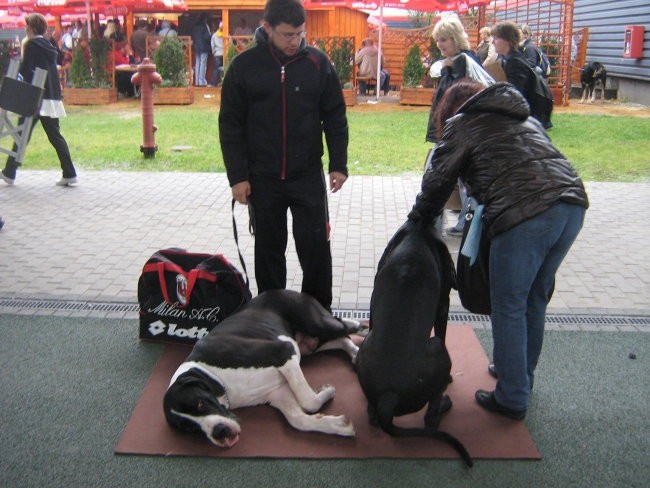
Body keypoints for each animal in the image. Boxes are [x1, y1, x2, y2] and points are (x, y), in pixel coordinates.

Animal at [160, 290, 356, 446]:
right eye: (189, 428)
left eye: (200, 403)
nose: (219, 432)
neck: (215, 377)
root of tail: (284, 290)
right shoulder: (278, 392)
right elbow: (298, 419)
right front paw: (339, 425)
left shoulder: (283, 351)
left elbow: (308, 400)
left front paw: (326, 391)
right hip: (310, 344)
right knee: (341, 338)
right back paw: (354, 352)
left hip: (319, 324)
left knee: (346, 326)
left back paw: (357, 333)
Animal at [354, 217, 470, 466]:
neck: (418, 228)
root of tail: (389, 397)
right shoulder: (443, 305)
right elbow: (443, 328)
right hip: (438, 350)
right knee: (430, 417)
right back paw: (444, 403)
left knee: (372, 414)